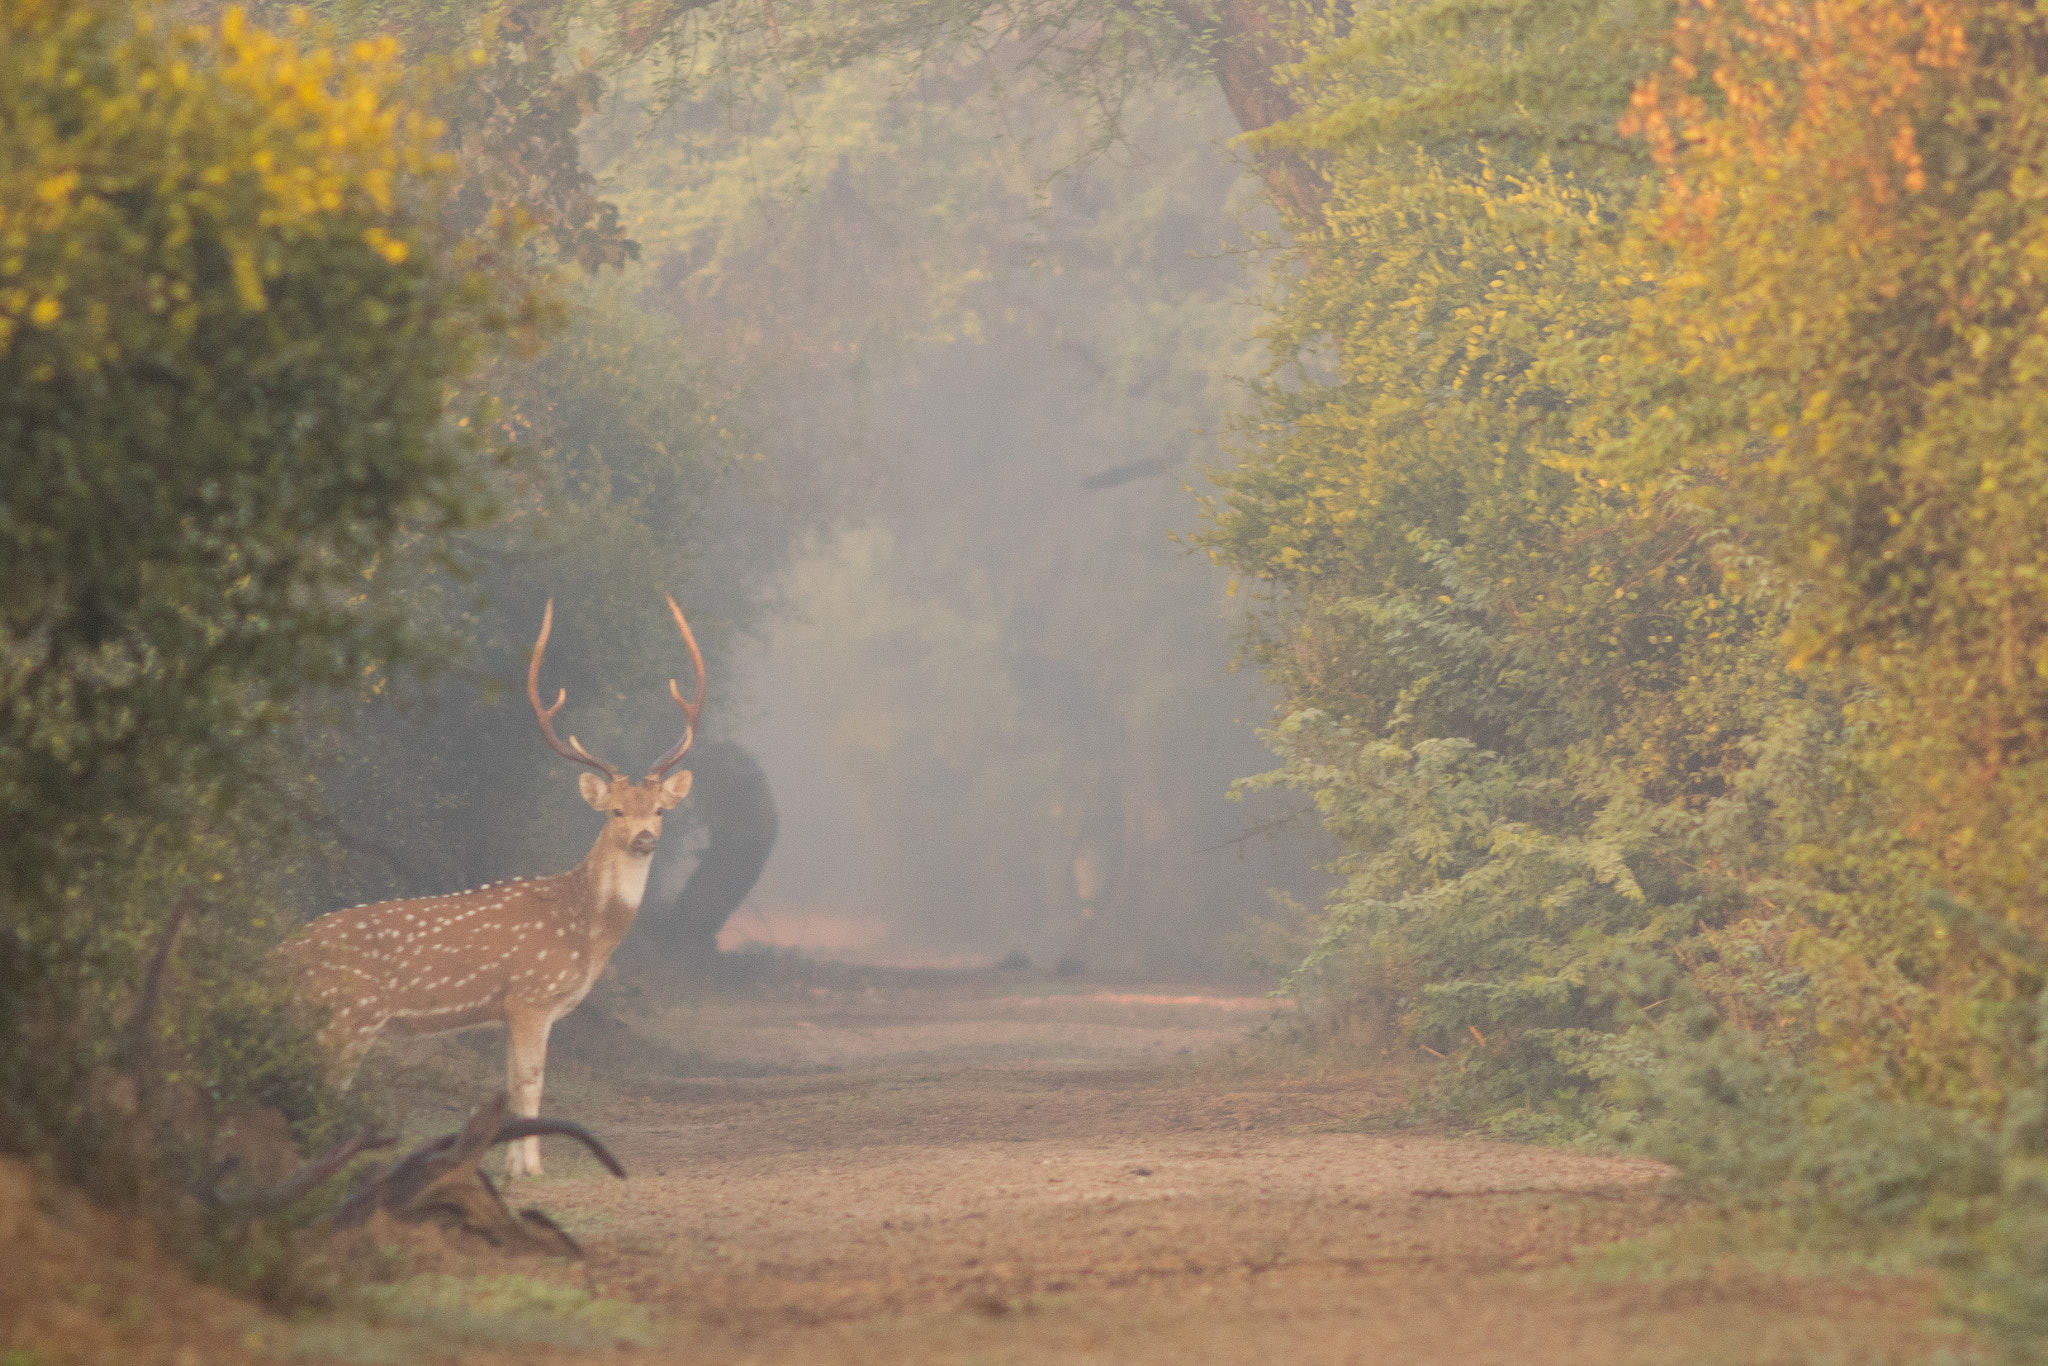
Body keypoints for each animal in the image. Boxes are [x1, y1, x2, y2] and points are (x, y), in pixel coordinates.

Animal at [279, 595, 706, 1178]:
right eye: (616, 810)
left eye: (659, 809)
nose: (644, 837)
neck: (586, 933)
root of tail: (275, 955)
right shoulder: (532, 995)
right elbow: (530, 1086)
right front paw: (532, 1170)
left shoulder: (508, 1008)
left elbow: (508, 1086)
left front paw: (511, 1166)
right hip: (345, 1018)